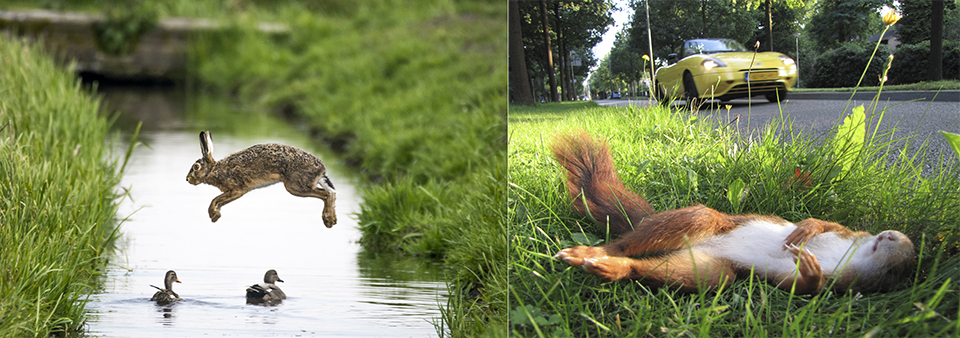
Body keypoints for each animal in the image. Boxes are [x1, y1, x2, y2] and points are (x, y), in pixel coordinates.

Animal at [548, 131, 916, 294]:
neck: (857, 253)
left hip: (710, 268)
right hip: (705, 222)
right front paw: (808, 228)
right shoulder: (849, 232)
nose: (887, 234)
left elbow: (799, 285)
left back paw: (614, 268)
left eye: (903, 250)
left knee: (660, 269)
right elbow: (826, 223)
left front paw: (809, 270)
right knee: (625, 243)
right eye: (898, 238)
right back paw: (591, 252)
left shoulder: (842, 283)